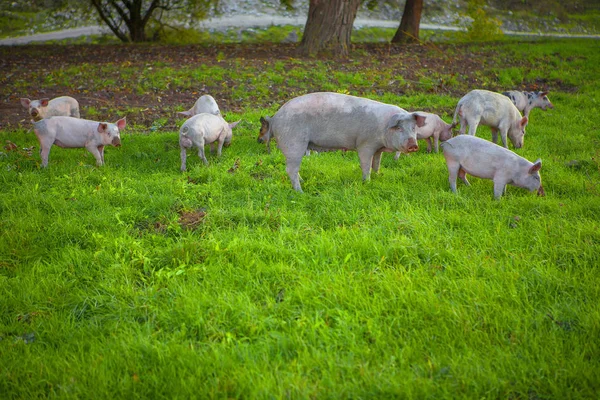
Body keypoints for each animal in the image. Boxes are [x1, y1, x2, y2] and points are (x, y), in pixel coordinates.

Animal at [260, 92, 424, 192]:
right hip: (294, 144)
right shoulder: (365, 144)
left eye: (413, 127)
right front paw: (367, 183)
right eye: (399, 128)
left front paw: (379, 176)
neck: (383, 127)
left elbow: (376, 164)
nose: (413, 145)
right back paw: (301, 192)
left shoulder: (378, 149)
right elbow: (366, 165)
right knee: (290, 170)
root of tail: (275, 118)